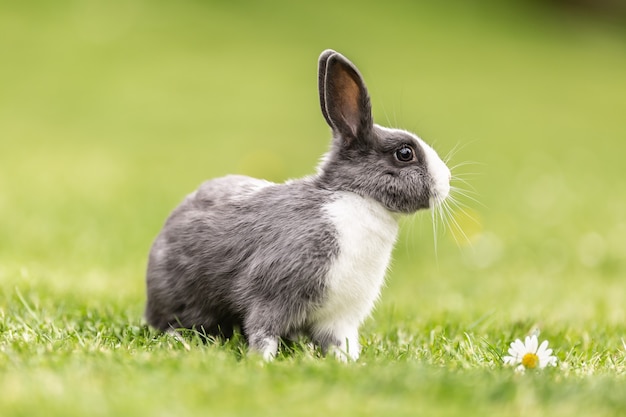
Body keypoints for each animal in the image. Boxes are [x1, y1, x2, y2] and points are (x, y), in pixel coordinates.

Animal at [146, 49, 448, 360]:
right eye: (405, 153)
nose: (446, 181)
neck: (357, 198)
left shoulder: (339, 319)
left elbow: (340, 343)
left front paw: (348, 363)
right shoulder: (273, 291)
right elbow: (263, 330)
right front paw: (263, 361)